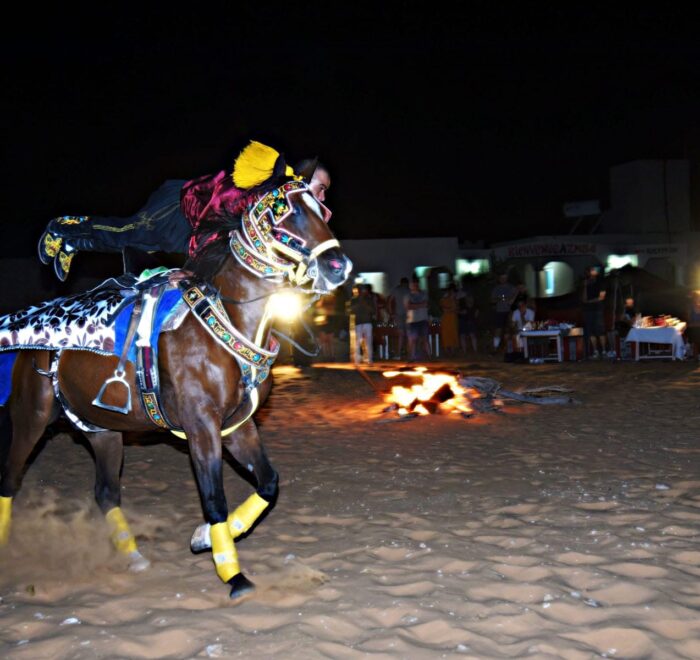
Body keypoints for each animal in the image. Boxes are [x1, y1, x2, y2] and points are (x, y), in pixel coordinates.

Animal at [0, 173, 350, 596]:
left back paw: (132, 556)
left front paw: (205, 539)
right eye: (288, 212)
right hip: (31, 418)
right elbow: (214, 499)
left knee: (105, 494)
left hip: (102, 429)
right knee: (10, 480)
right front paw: (233, 575)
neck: (226, 319)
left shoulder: (236, 425)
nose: (338, 266)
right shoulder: (201, 426)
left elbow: (268, 483)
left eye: (322, 210)